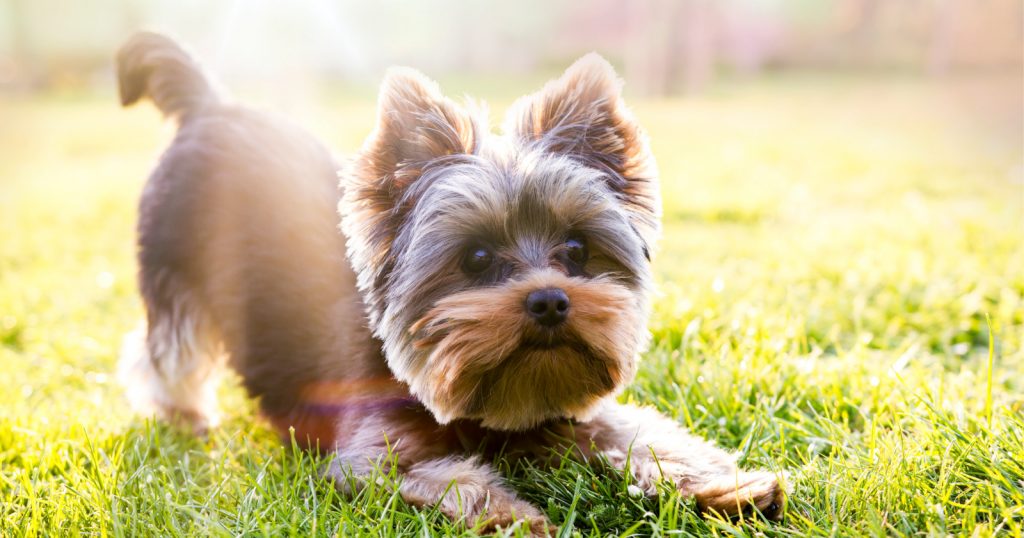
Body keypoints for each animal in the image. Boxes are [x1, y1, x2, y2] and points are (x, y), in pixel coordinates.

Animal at [117, 32, 782, 532]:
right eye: (477, 258)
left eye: (576, 250)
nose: (549, 300)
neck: (489, 407)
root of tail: (209, 105)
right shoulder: (369, 458)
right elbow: (449, 477)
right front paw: (513, 515)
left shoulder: (571, 411)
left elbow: (644, 436)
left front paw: (728, 487)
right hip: (172, 270)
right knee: (166, 351)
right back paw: (184, 415)